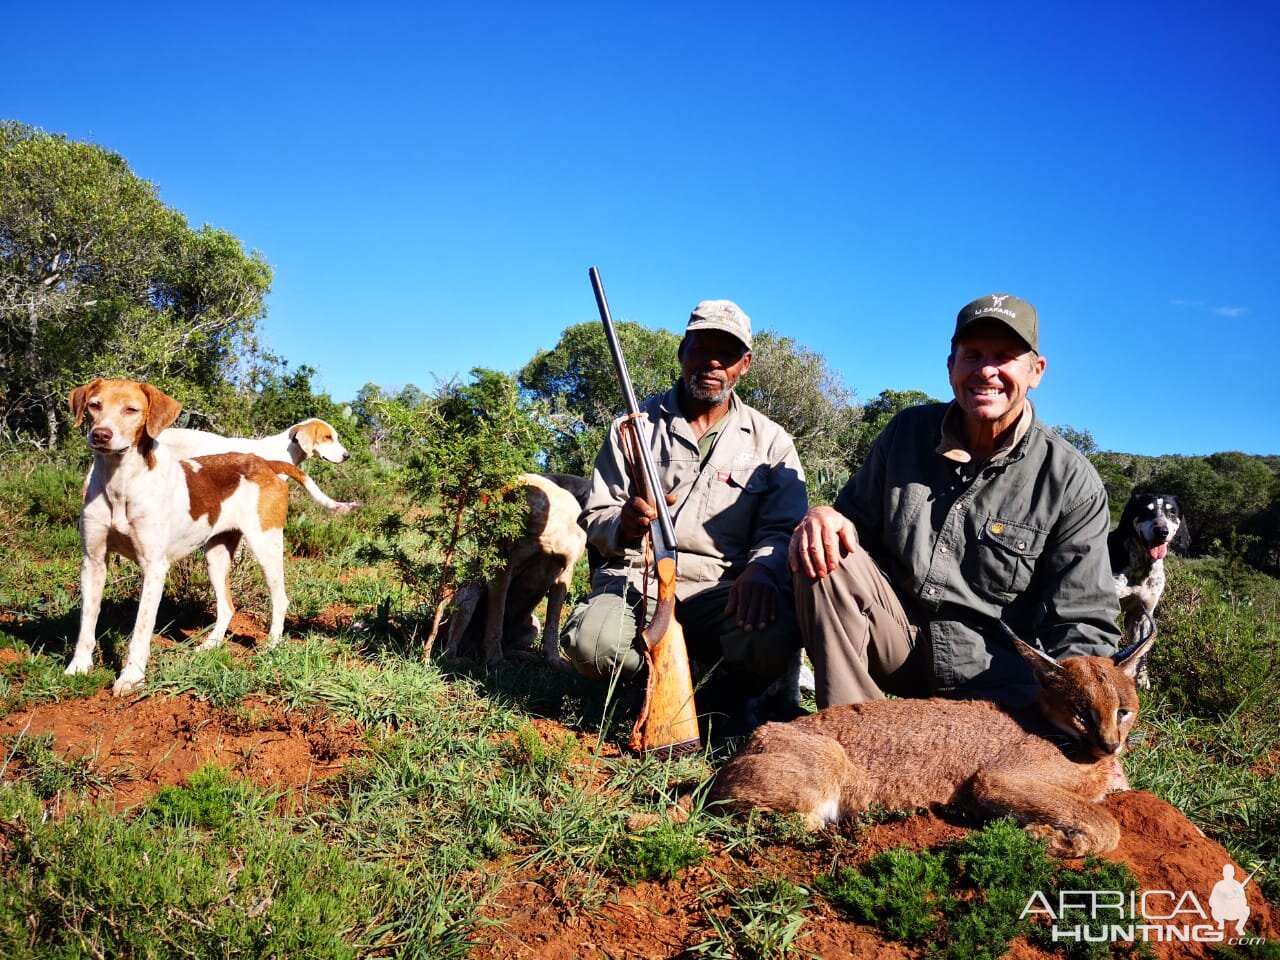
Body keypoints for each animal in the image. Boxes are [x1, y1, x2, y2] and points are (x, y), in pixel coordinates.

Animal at [66, 378, 360, 701]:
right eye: (94, 405)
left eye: (131, 410)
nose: (100, 435)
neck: (120, 483)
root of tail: (266, 464)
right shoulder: (93, 563)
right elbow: (87, 623)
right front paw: (78, 668)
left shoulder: (154, 568)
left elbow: (141, 630)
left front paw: (131, 678)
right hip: (216, 557)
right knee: (227, 606)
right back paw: (211, 645)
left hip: (266, 546)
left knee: (280, 598)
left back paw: (271, 644)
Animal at [716, 627, 1157, 860]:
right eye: (1082, 713)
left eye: (1123, 711)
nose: (1111, 744)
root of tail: (747, 744)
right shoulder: (997, 780)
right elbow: (1106, 822)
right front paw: (1048, 836)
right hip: (829, 758)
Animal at [1111, 491, 1187, 686]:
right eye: (1146, 510)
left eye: (1172, 512)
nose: (1162, 531)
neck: (1143, 567)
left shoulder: (1142, 615)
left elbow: (1142, 652)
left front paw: (1142, 679)